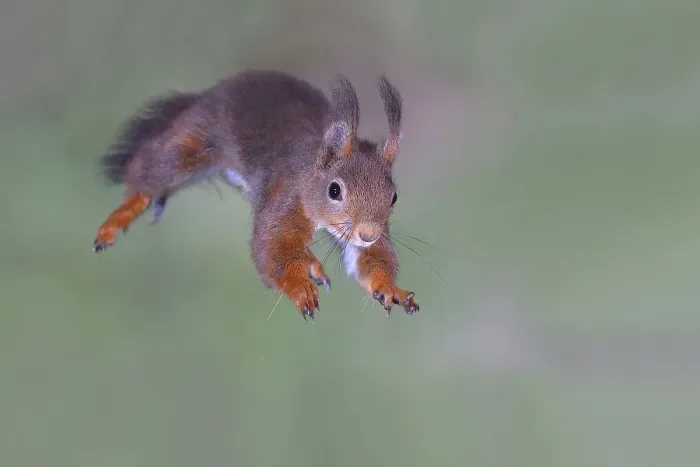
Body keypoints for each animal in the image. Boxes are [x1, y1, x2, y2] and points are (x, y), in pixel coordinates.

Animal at [93, 69, 419, 319]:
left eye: (393, 197)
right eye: (334, 190)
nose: (368, 234)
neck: (311, 173)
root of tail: (209, 92)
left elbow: (370, 259)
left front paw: (390, 288)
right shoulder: (286, 197)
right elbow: (273, 248)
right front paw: (299, 288)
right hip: (194, 141)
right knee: (149, 174)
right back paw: (117, 219)